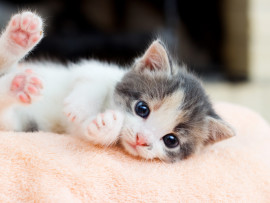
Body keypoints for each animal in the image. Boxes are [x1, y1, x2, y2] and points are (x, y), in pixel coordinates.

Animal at [0, 11, 234, 163]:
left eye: (171, 141)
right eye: (142, 109)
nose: (141, 140)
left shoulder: (76, 132)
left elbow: (89, 132)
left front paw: (106, 126)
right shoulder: (94, 68)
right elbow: (93, 79)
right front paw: (78, 107)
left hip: (18, 124)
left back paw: (19, 85)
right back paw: (20, 36)